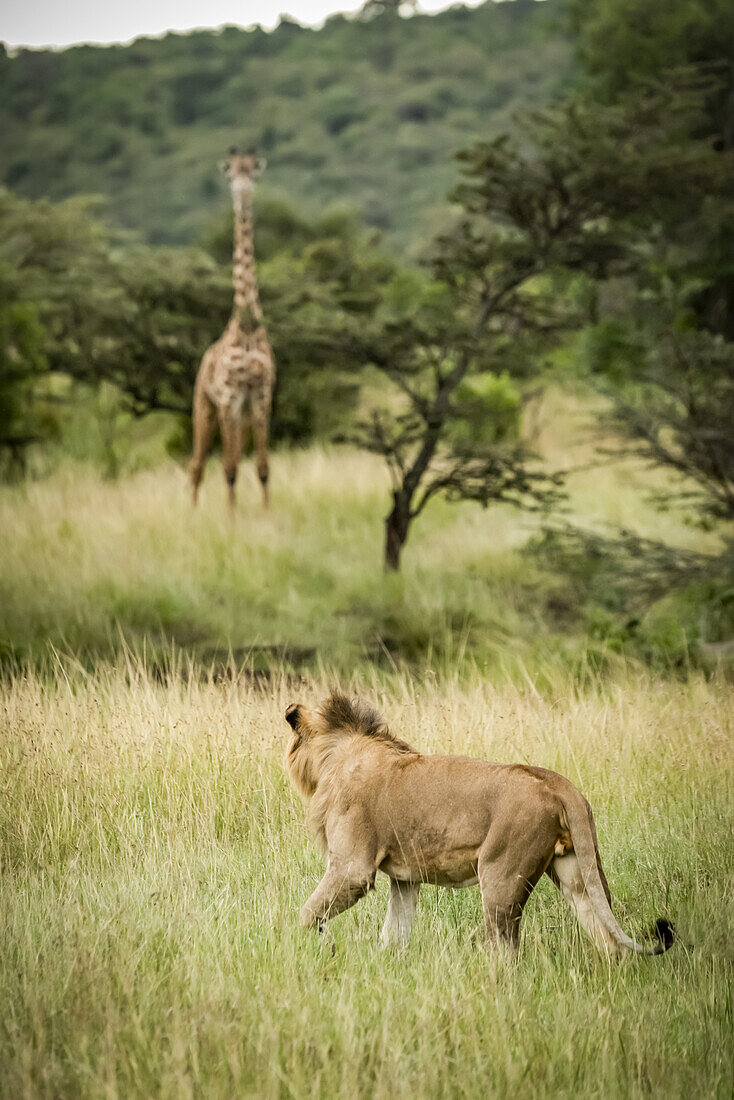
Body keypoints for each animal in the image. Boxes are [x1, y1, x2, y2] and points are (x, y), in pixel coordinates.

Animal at [283, 695, 673, 954]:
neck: (335, 756)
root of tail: (557, 782)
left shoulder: (353, 867)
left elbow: (306, 913)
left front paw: (310, 947)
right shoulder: (406, 878)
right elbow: (394, 931)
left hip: (501, 875)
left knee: (507, 949)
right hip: (576, 872)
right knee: (607, 938)